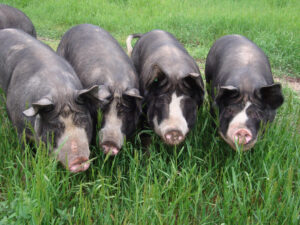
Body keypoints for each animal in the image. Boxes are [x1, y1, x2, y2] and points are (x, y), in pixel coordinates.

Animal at [0, 28, 102, 172]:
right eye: (55, 126)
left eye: (82, 120)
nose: (79, 160)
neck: (60, 91)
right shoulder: (20, 129)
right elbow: (24, 149)